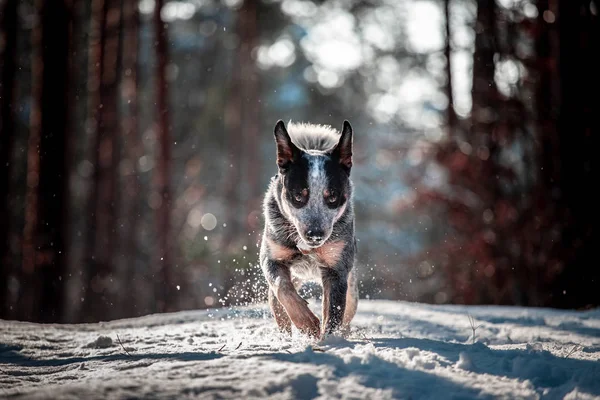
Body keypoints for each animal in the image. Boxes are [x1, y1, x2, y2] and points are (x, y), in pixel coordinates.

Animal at [260, 119, 358, 338]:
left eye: (332, 196)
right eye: (298, 195)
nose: (315, 235)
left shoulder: (336, 269)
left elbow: (334, 312)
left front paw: (329, 340)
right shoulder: (272, 258)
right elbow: (282, 288)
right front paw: (306, 322)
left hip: (351, 288)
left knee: (348, 309)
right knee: (276, 299)